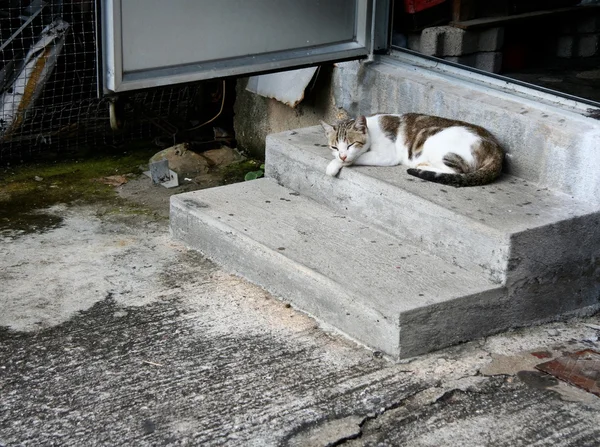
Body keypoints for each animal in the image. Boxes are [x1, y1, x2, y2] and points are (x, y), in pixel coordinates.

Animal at [322, 114, 504, 189]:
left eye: (351, 145)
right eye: (334, 147)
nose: (342, 155)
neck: (372, 129)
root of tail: (497, 148)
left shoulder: (387, 156)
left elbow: (358, 157)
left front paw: (334, 164)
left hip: (433, 139)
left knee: (457, 170)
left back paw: (423, 165)